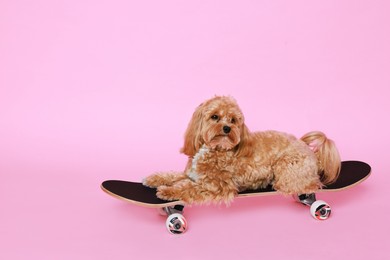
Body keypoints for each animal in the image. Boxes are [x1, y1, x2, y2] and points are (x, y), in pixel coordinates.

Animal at [142, 96, 340, 205]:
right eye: (215, 117)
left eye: (233, 120)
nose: (227, 128)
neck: (215, 148)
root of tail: (313, 154)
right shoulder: (191, 173)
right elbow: (173, 175)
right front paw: (154, 179)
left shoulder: (218, 187)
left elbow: (188, 188)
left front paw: (167, 191)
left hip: (286, 170)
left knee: (308, 185)